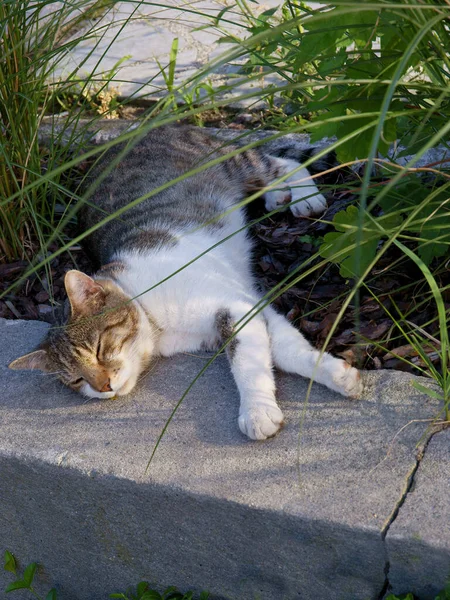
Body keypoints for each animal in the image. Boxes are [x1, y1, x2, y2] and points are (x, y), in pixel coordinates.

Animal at [9, 125, 362, 440]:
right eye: (76, 380)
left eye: (98, 348)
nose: (103, 387)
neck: (155, 320)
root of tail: (140, 128)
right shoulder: (249, 304)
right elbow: (285, 347)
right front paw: (336, 374)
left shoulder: (234, 306)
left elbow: (249, 361)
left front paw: (258, 410)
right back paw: (278, 195)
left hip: (233, 163)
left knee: (281, 163)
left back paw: (304, 196)